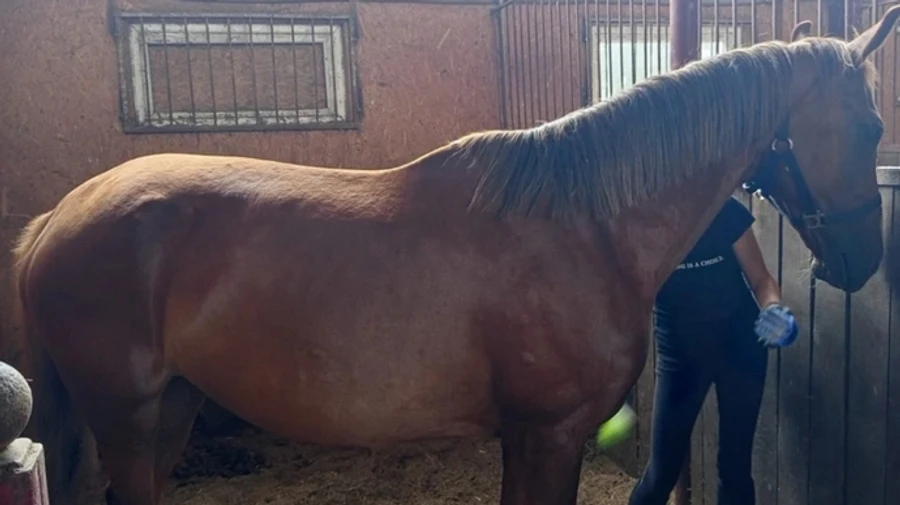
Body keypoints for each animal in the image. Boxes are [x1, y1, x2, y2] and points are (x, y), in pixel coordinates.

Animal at [10, 9, 899, 505]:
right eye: (871, 128)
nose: (861, 262)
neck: (585, 225)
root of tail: (57, 218)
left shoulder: (532, 437)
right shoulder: (546, 433)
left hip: (171, 406)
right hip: (126, 417)